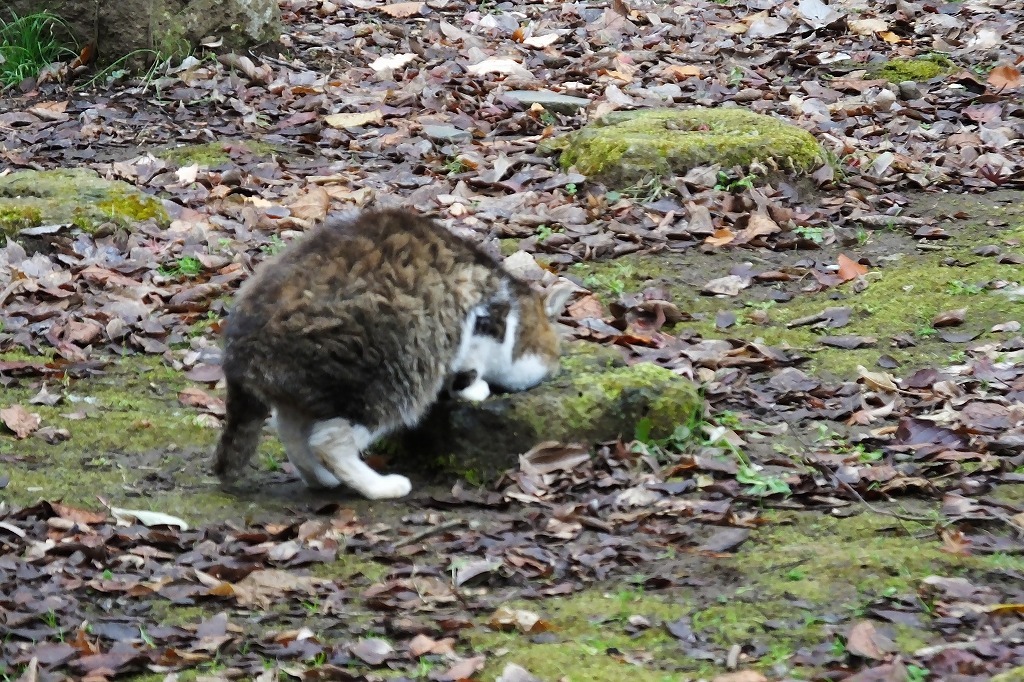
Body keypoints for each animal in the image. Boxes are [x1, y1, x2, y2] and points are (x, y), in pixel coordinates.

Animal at [212, 206, 573, 499]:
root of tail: (239, 354)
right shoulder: (475, 326)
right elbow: (469, 367)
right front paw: (474, 387)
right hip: (387, 380)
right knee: (328, 441)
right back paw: (380, 487)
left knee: (290, 430)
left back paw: (320, 480)